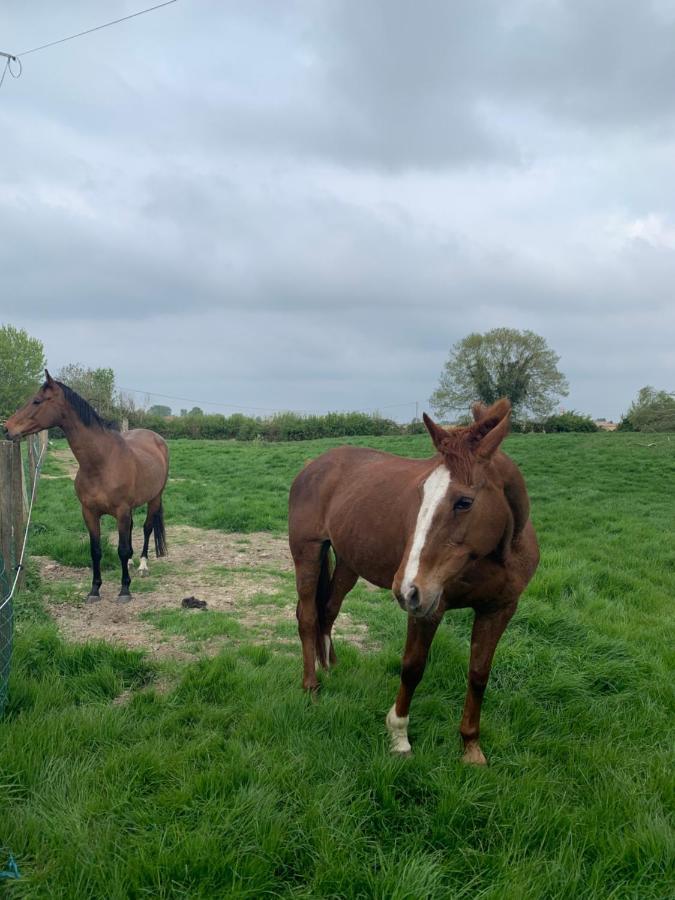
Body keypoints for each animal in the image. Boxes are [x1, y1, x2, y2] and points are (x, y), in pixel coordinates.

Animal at [5, 372, 169, 604]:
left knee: (147, 528)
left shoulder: (121, 511)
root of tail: (156, 437)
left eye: (36, 401)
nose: (7, 428)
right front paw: (94, 590)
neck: (102, 462)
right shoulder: (89, 512)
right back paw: (130, 563)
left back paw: (143, 565)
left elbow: (122, 549)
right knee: (131, 530)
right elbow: (96, 550)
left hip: (154, 498)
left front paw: (124, 590)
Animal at [290, 400, 540, 768]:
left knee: (328, 611)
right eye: (420, 495)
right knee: (307, 616)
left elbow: (479, 673)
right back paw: (311, 686)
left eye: (464, 502)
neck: (495, 553)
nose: (405, 589)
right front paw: (399, 738)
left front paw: (471, 746)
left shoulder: (499, 609)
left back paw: (331, 666)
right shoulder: (429, 607)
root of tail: (313, 466)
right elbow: (412, 667)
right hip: (307, 553)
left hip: (348, 563)